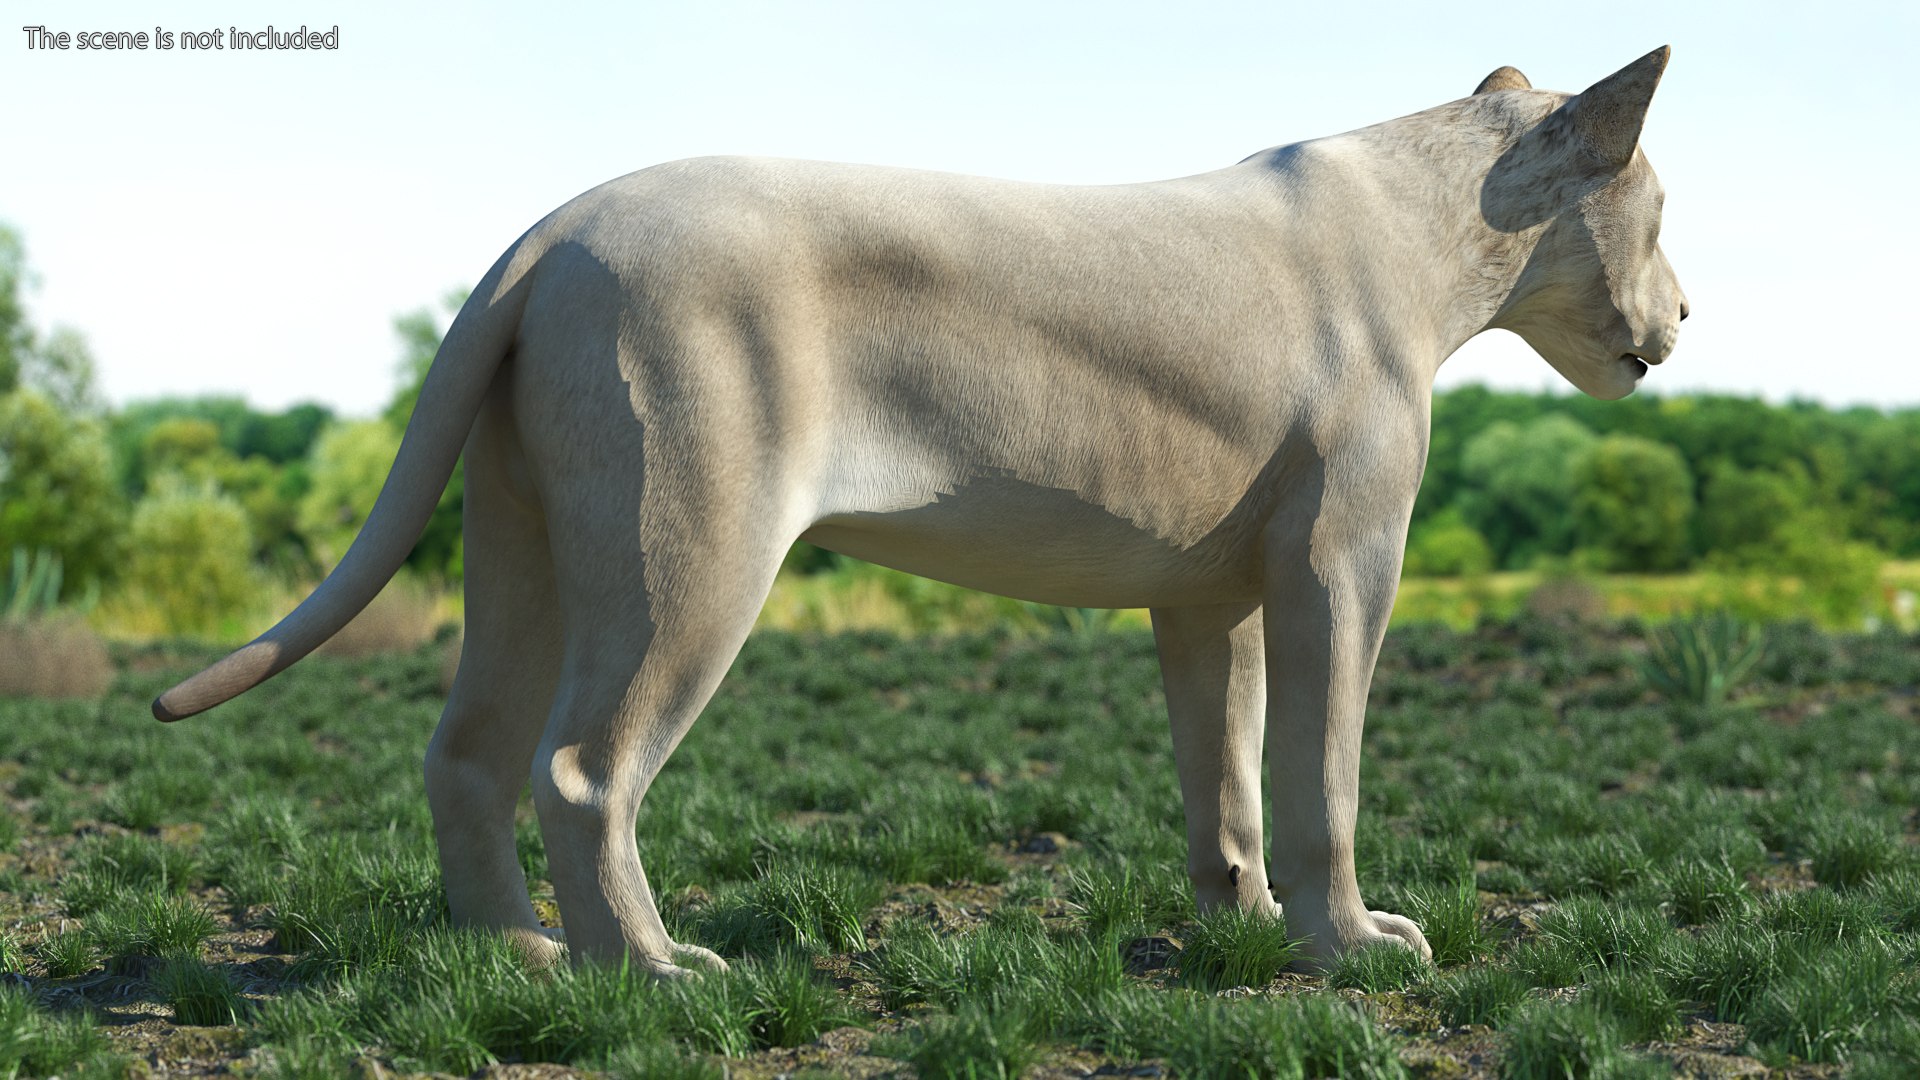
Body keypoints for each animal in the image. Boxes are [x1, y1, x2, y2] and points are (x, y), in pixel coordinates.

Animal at [155, 48, 1685, 976]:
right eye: (1663, 213)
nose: (1684, 316)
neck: (1442, 232)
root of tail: (557, 229)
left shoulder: (1211, 592)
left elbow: (1230, 777)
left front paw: (1238, 929)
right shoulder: (1341, 563)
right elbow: (1325, 775)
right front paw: (1351, 946)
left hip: (525, 538)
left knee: (465, 753)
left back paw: (517, 959)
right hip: (691, 553)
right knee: (583, 770)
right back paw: (651, 975)